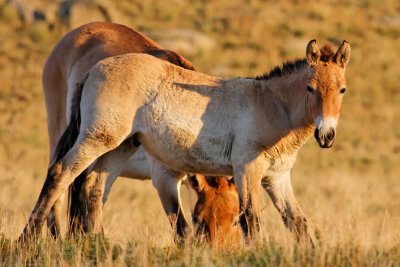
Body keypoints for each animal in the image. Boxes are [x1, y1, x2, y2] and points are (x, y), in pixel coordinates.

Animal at [22, 39, 350, 245]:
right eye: (309, 87)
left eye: (343, 89)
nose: (326, 135)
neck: (272, 105)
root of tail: (94, 69)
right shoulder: (247, 170)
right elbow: (251, 221)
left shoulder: (277, 177)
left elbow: (298, 222)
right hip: (97, 138)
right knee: (60, 174)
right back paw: (26, 241)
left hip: (120, 146)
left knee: (94, 189)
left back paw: (99, 246)